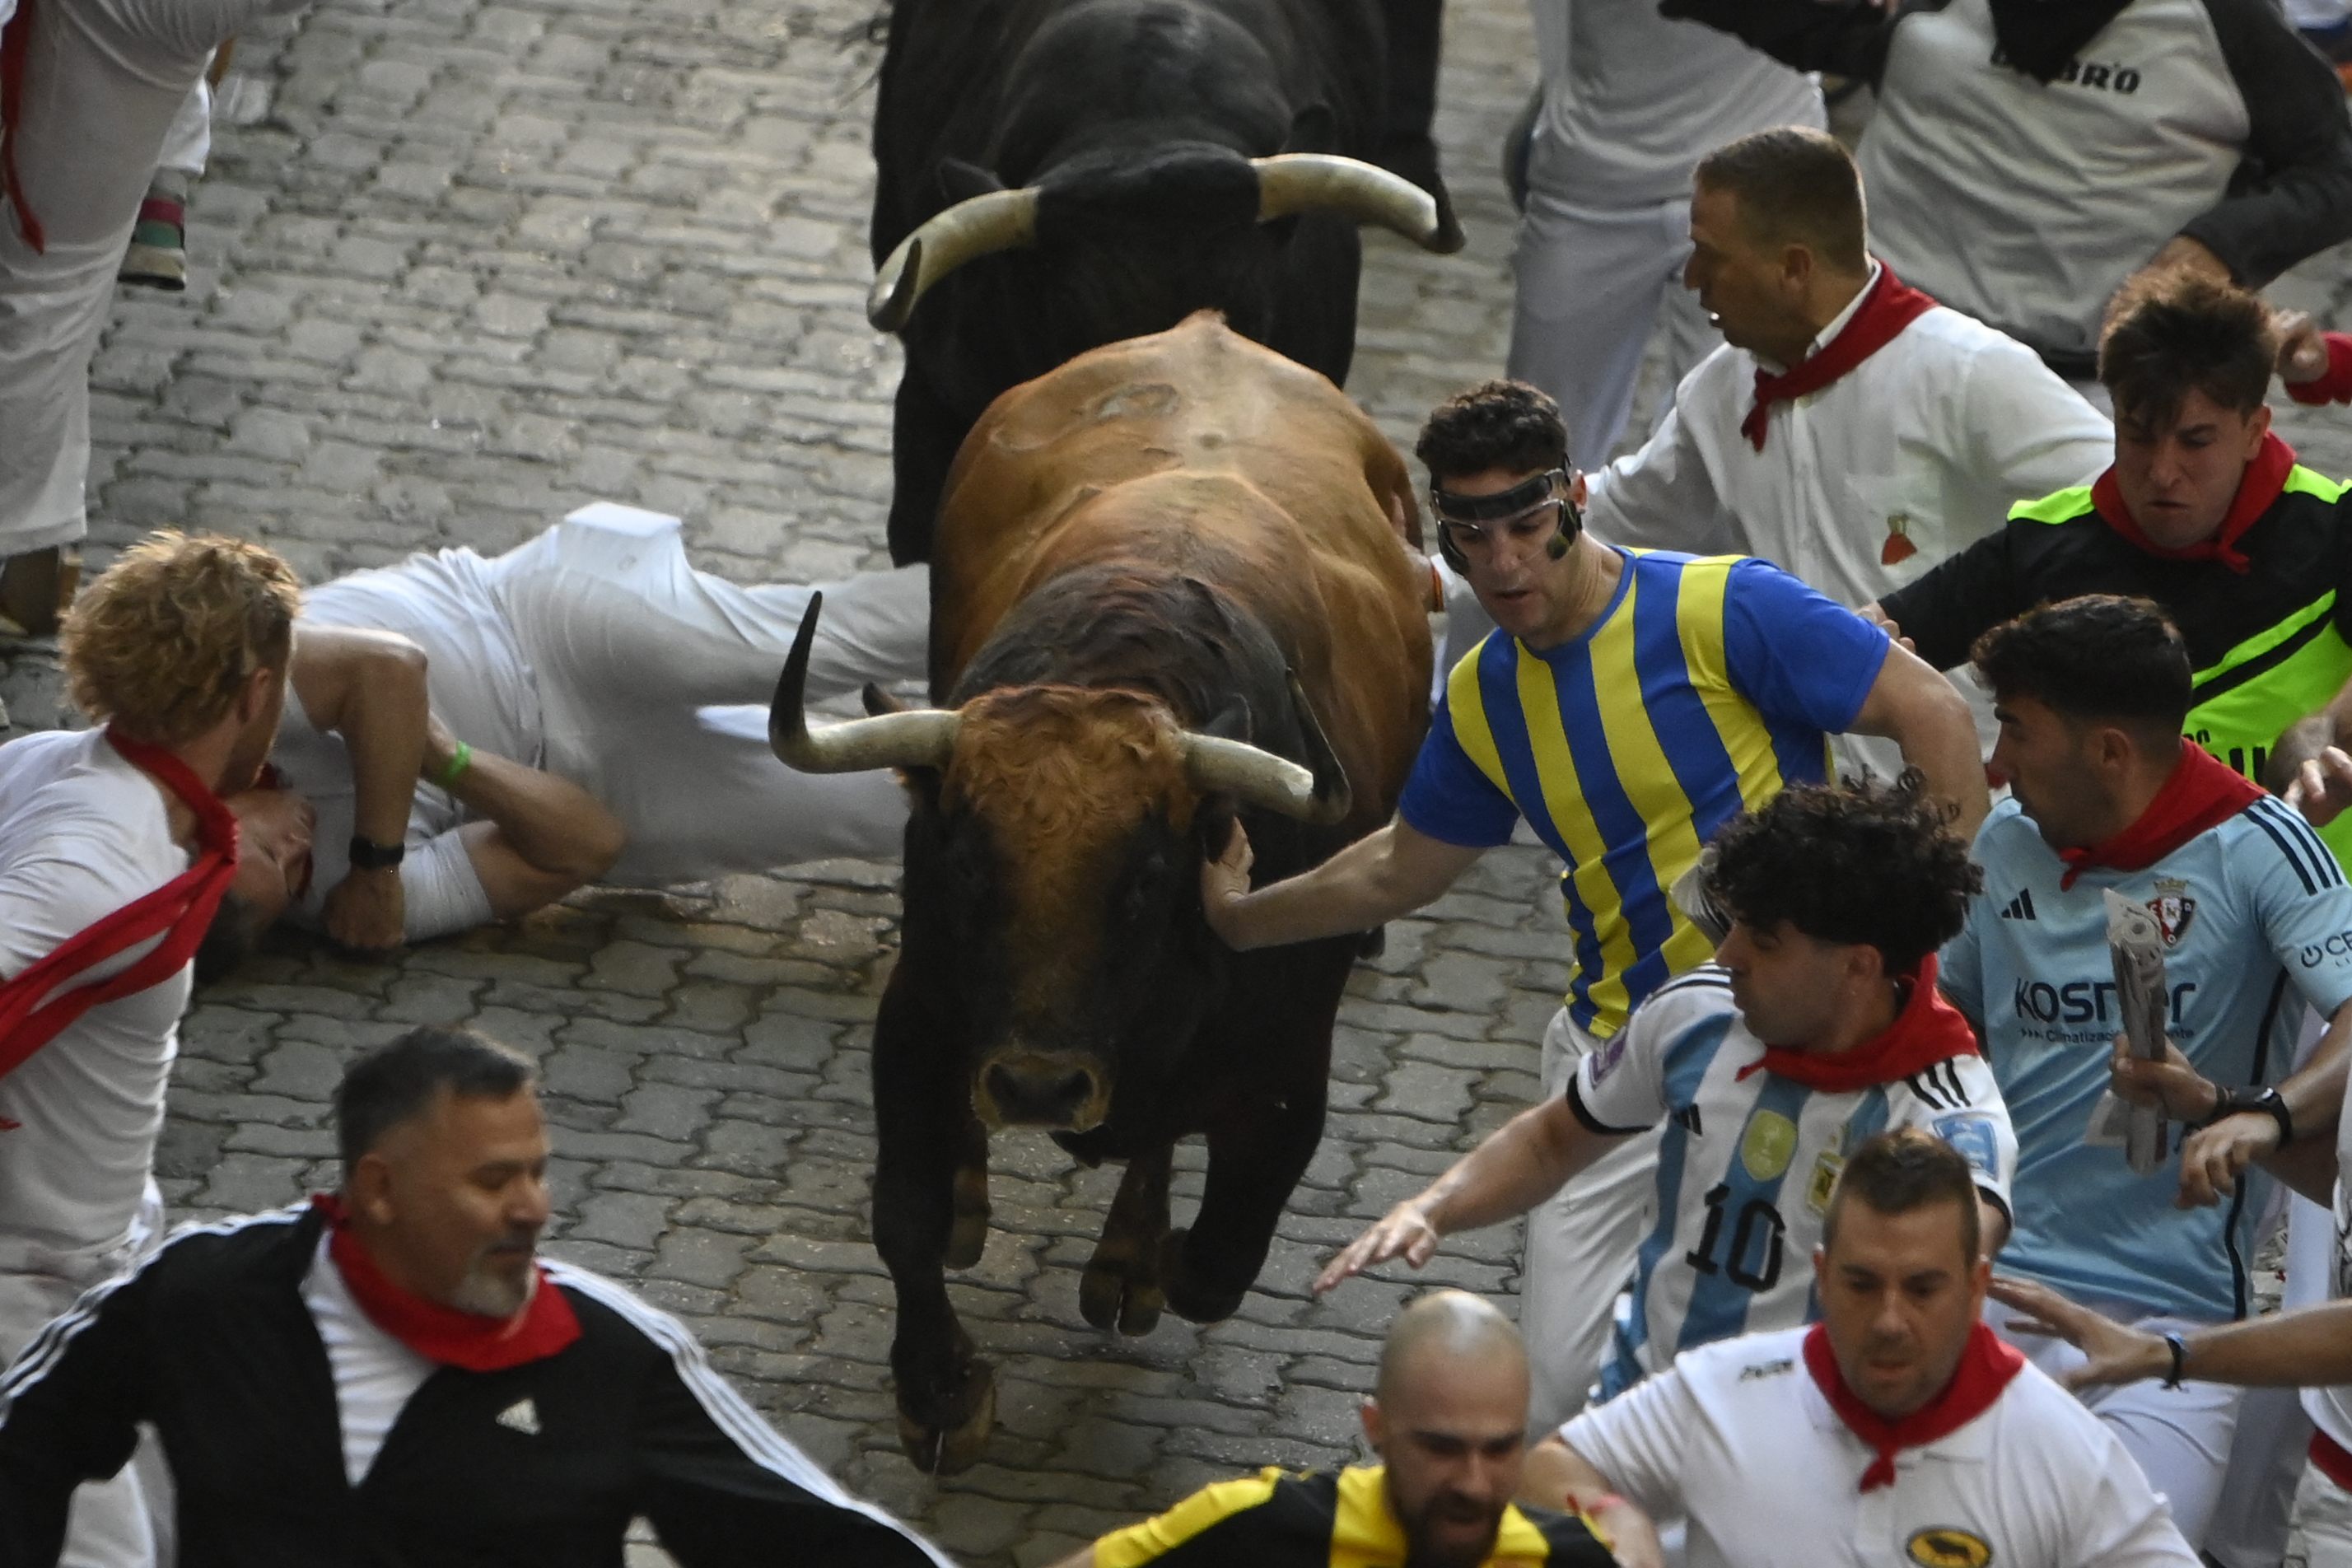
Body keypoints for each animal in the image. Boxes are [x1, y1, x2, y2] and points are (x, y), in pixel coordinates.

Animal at [771, 315, 1430, 1476]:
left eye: (1147, 878)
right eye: (963, 862)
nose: (1037, 1083)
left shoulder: (1288, 1083)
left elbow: (1216, 1258)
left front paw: (1144, 1256)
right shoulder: (922, 1018)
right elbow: (903, 1214)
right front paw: (939, 1390)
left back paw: (1126, 1252)